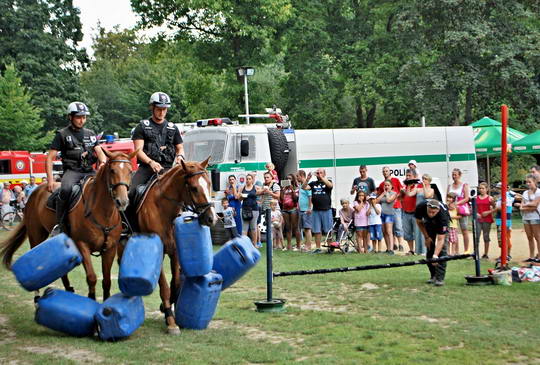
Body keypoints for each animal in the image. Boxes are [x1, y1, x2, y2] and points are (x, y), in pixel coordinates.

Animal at [1, 149, 136, 300]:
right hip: (36, 235)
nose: (122, 201)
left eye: (130, 171)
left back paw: (68, 288)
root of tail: (36, 191)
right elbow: (92, 277)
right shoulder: (82, 245)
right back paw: (37, 296)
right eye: (112, 170)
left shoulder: (110, 248)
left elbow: (106, 281)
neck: (102, 212)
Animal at [122, 158, 217, 334]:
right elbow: (164, 287)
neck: (163, 209)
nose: (211, 218)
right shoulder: (158, 254)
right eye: (194, 188)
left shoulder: (175, 252)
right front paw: (170, 320)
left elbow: (177, 283)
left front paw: (168, 306)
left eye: (209, 184)